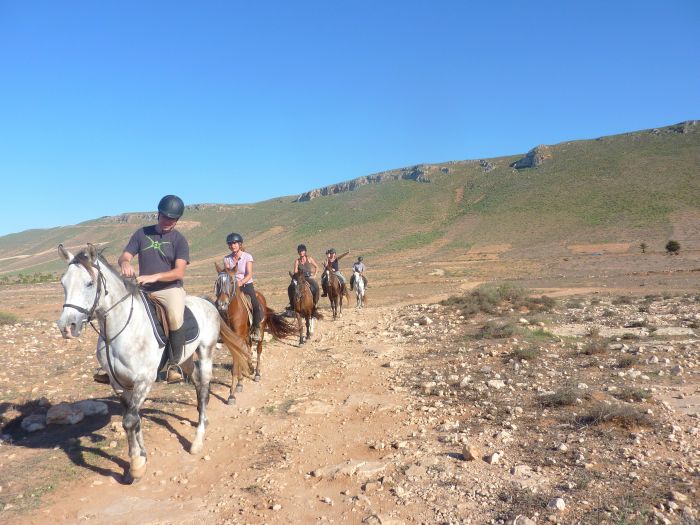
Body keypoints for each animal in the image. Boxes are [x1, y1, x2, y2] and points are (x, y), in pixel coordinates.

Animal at [56, 244, 252, 482]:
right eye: (63, 283)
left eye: (89, 283)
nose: (67, 327)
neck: (121, 330)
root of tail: (208, 303)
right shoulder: (119, 384)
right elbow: (134, 420)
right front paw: (141, 456)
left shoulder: (143, 380)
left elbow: (129, 421)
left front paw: (136, 465)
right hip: (186, 359)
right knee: (196, 384)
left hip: (206, 352)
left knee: (204, 390)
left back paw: (197, 442)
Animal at [213, 262, 296, 406]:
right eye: (217, 283)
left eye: (231, 281)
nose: (221, 304)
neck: (232, 312)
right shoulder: (232, 341)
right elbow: (239, 359)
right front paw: (239, 384)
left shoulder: (238, 338)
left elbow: (236, 364)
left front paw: (232, 395)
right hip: (246, 335)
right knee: (249, 348)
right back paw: (251, 368)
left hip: (260, 333)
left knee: (258, 350)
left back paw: (257, 373)